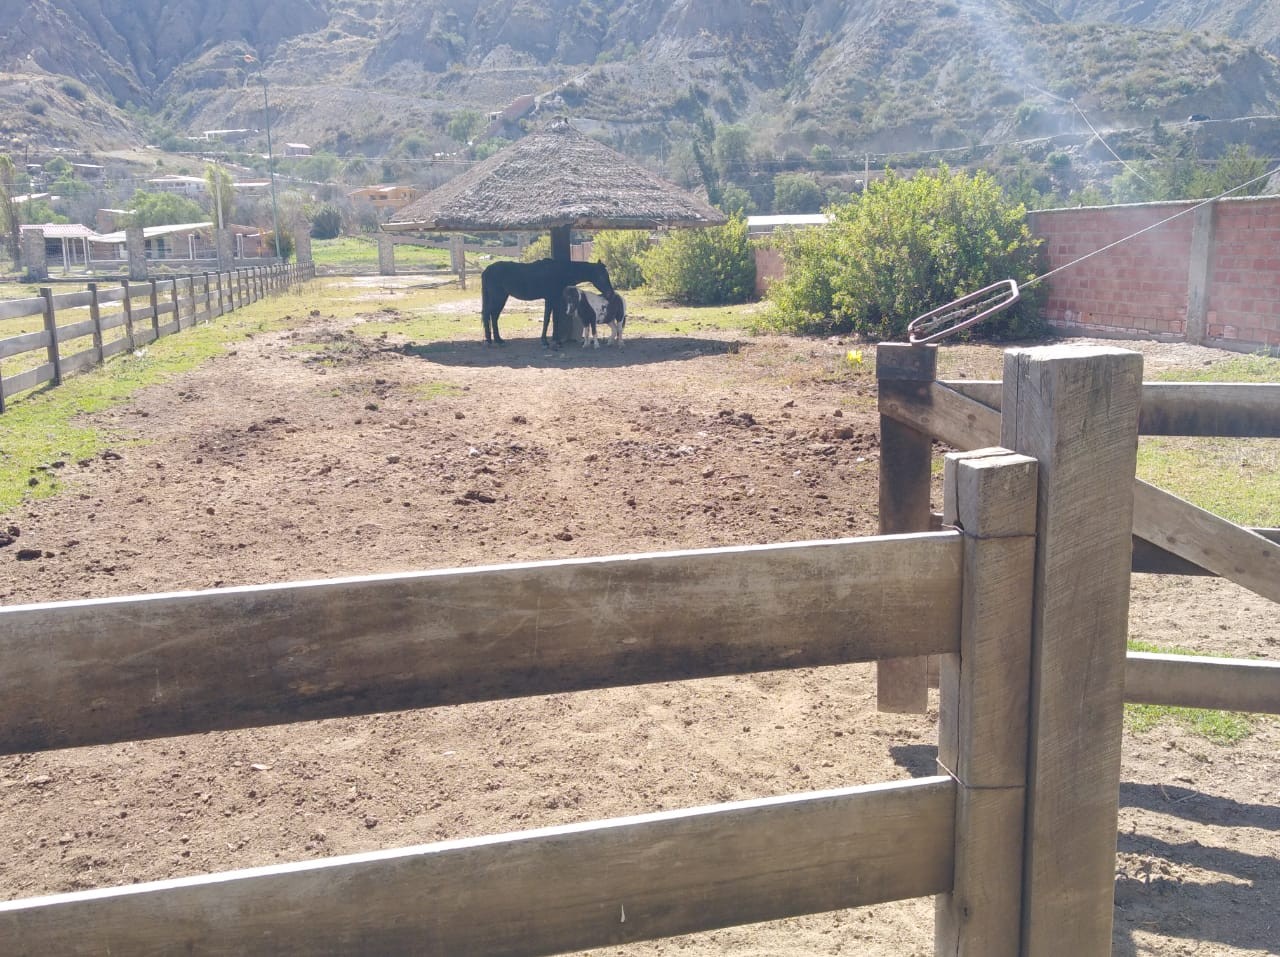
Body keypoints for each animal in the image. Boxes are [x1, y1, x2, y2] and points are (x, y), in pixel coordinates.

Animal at [481, 258, 616, 348]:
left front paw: (556, 340)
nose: (610, 293)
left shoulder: (554, 300)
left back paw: (498, 340)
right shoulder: (550, 299)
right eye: (602, 275)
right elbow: (547, 319)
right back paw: (490, 341)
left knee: (493, 316)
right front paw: (545, 341)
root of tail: (487, 270)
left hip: (501, 298)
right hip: (498, 298)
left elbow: (554, 319)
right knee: (489, 315)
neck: (560, 271)